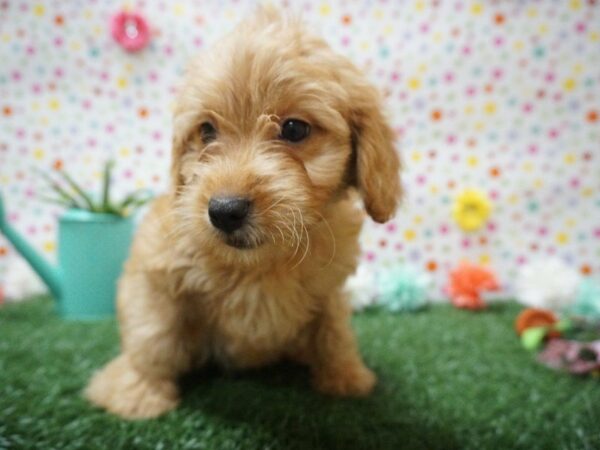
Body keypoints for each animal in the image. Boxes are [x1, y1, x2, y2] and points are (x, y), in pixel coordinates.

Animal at [84, 7, 400, 418]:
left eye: (294, 129)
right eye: (206, 131)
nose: (224, 211)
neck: (258, 264)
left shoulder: (329, 286)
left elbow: (333, 330)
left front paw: (345, 376)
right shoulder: (156, 276)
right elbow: (153, 336)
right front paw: (139, 391)